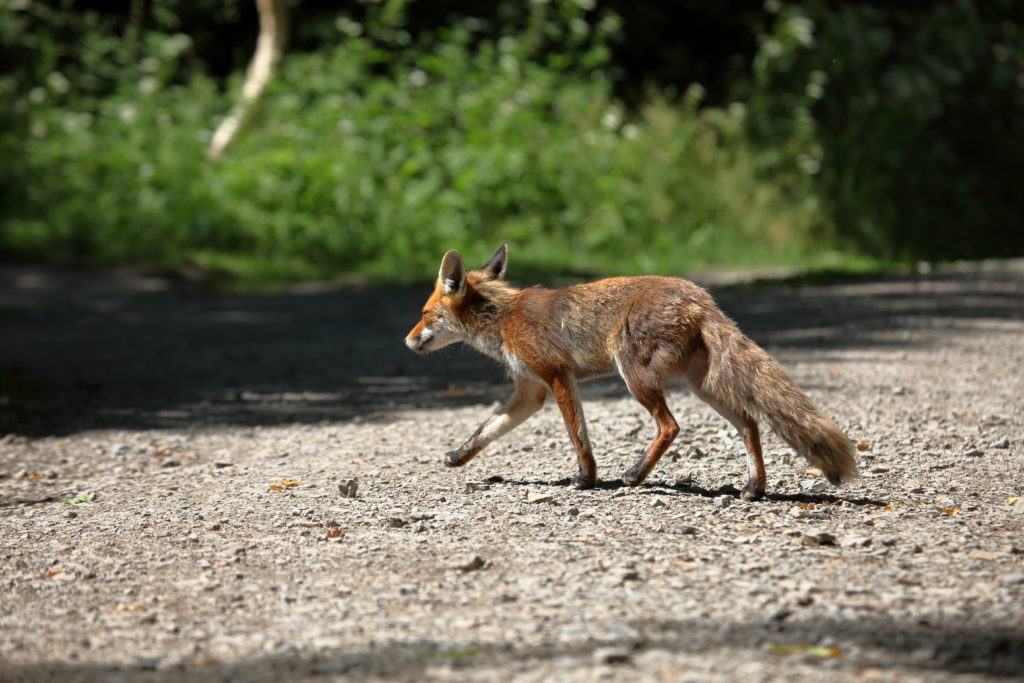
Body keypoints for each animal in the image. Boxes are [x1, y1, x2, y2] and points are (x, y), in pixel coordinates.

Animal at [403, 246, 860, 501]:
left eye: (423, 313)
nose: (406, 342)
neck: (502, 319)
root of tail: (701, 297)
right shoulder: (530, 392)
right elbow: (486, 429)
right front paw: (458, 456)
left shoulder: (557, 376)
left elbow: (578, 436)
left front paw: (586, 479)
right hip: (702, 386)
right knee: (749, 423)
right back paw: (753, 488)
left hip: (635, 376)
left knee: (671, 426)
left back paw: (636, 474)